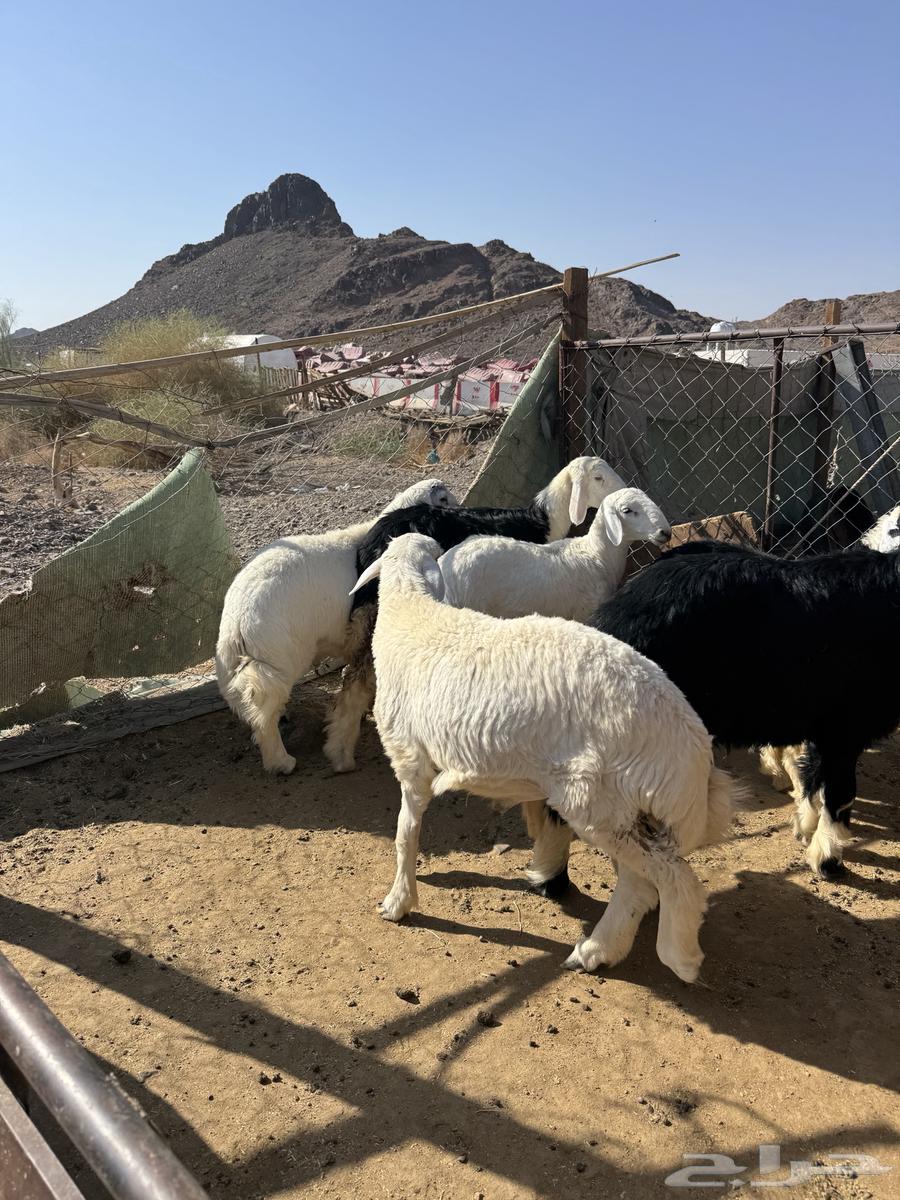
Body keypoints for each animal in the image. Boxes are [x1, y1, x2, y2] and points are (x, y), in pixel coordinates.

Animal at [351, 532, 739, 983]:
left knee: (673, 880)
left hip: (598, 801)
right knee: (639, 883)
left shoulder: (410, 761)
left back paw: (679, 956)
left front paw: (398, 901)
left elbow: (405, 832)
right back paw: (597, 951)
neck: (412, 614)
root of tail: (690, 746)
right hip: (622, 806)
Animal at [592, 538, 900, 878]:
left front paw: (805, 829)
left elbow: (812, 779)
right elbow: (840, 793)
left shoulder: (823, 728)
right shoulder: (847, 727)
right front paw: (827, 860)